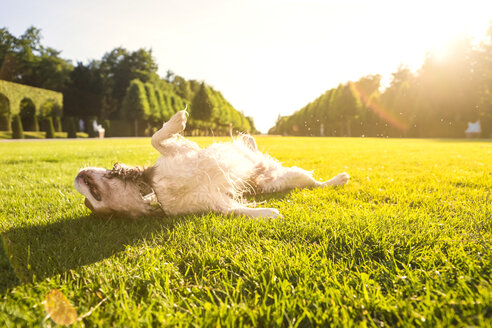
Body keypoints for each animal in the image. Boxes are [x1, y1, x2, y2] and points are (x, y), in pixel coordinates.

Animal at [74, 109, 350, 218]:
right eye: (91, 204)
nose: (76, 177)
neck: (158, 190)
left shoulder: (180, 151)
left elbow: (157, 138)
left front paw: (177, 120)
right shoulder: (215, 202)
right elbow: (237, 210)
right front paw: (269, 213)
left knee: (318, 183)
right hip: (289, 178)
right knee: (315, 184)